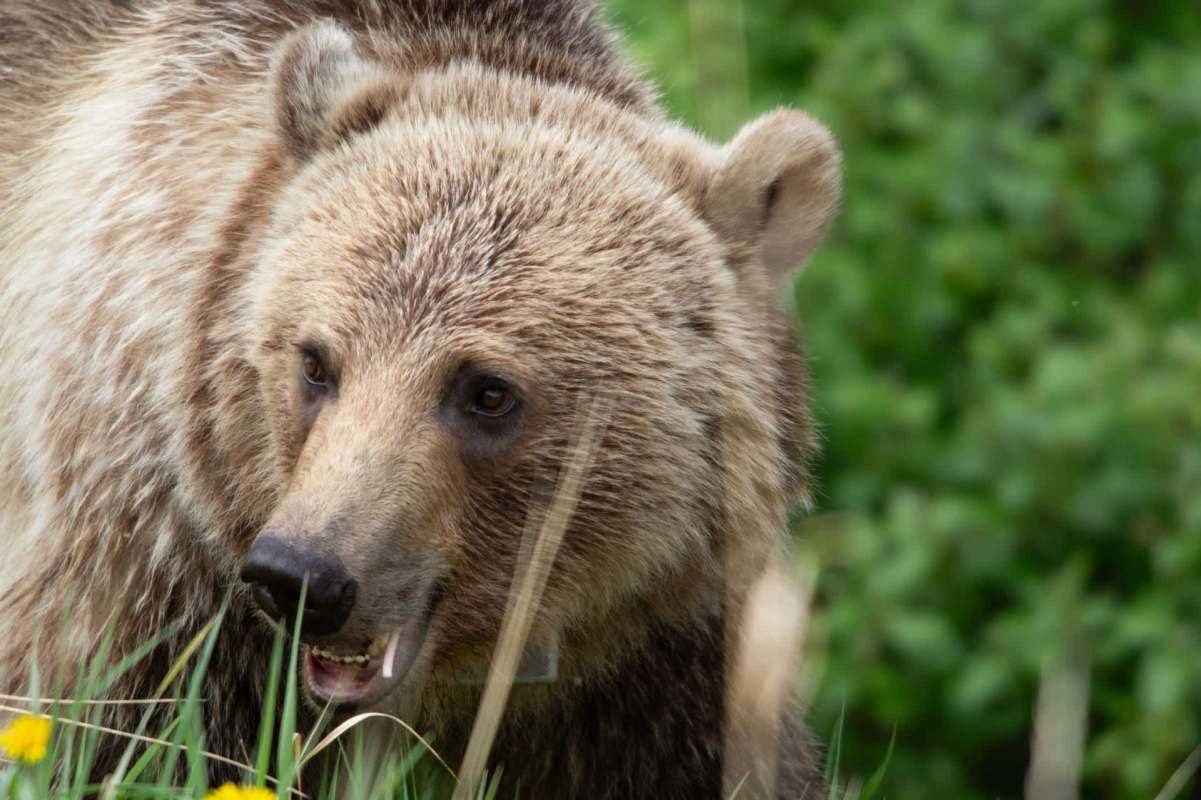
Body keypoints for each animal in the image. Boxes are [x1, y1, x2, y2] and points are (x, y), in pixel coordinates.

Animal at [0, 2, 841, 797]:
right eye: (315, 362)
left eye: (489, 392)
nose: (301, 576)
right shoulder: (162, 560)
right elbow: (110, 731)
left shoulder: (663, 634)